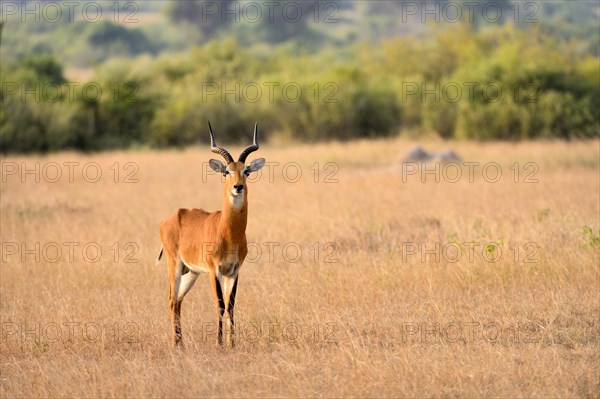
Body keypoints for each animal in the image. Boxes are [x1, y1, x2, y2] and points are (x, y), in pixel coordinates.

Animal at [157, 122, 264, 346]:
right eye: (226, 172)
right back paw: (175, 343)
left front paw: (232, 344)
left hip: (192, 272)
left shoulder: (234, 270)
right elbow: (220, 304)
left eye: (246, 171)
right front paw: (219, 343)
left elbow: (231, 305)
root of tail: (170, 218)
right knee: (171, 299)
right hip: (175, 265)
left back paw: (182, 344)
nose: (238, 187)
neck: (229, 233)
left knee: (179, 300)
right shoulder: (214, 269)